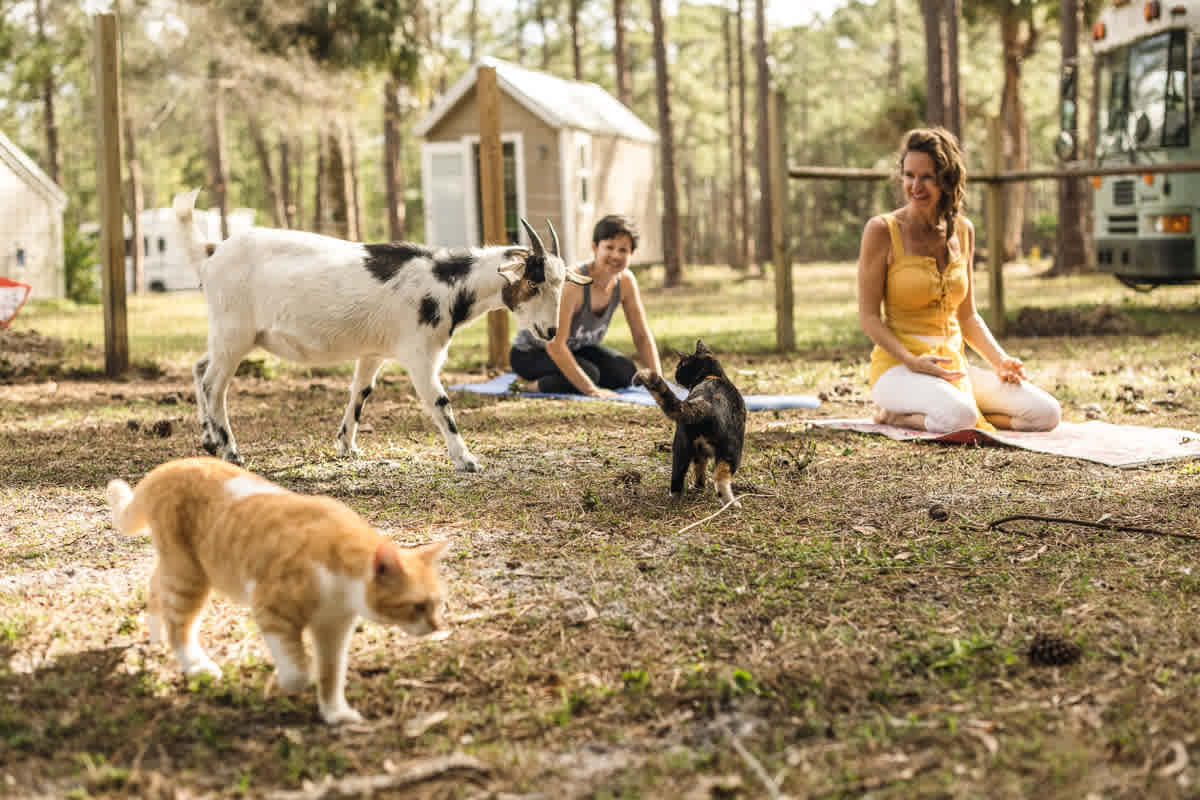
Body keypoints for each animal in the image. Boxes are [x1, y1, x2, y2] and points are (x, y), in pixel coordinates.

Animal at [104, 455, 446, 724]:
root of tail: (169, 466)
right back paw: (196, 665)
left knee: (155, 589)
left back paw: (156, 634)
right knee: (180, 625)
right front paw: (290, 683)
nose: (436, 627)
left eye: (437, 604)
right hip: (189, 576)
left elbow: (331, 673)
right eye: (418, 605)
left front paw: (335, 713)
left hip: (179, 569)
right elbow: (300, 673)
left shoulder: (333, 629)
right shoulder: (270, 610)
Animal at [172, 188, 590, 472]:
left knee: (199, 368)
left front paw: (346, 446)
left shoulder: (374, 352)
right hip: (234, 332)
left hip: (228, 334)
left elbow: (361, 392)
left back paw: (208, 438)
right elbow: (440, 402)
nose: (550, 331)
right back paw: (230, 451)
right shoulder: (420, 353)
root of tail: (211, 253)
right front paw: (466, 459)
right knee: (214, 385)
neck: (447, 282)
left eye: (560, 285)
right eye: (533, 283)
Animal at [633, 340, 744, 506]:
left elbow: (699, 469)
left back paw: (677, 495)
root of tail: (705, 403)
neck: (712, 375)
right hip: (732, 450)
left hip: (682, 445)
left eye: (679, 366)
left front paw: (698, 487)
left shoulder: (699, 452)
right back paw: (731, 503)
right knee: (721, 478)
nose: (675, 374)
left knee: (678, 473)